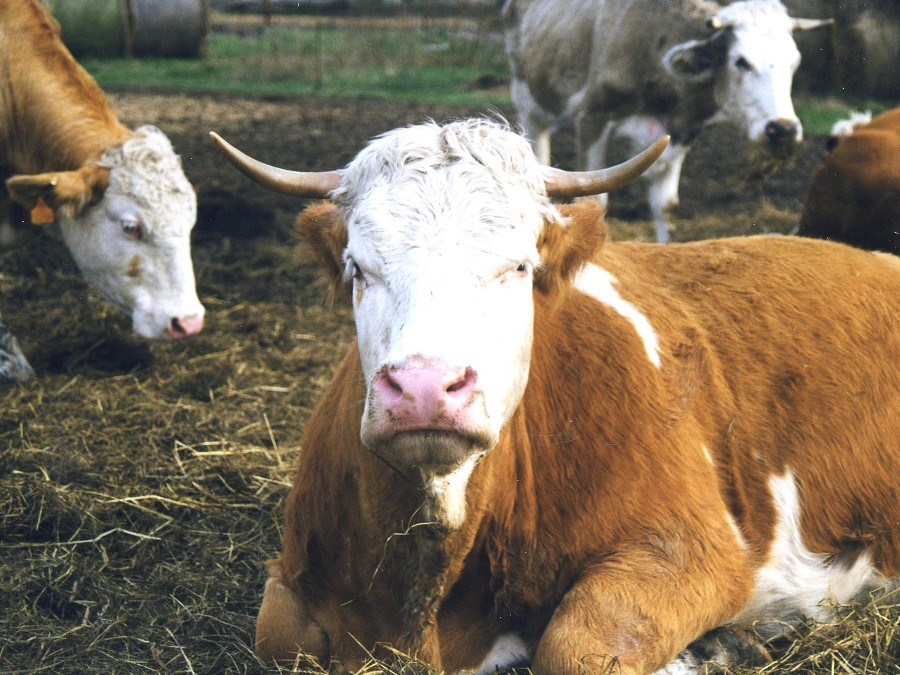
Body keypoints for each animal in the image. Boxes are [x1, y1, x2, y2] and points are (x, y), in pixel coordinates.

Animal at [500, 0, 828, 243]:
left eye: (794, 62)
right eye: (741, 61)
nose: (783, 128)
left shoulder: (680, 135)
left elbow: (666, 206)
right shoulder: (592, 117)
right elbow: (597, 201)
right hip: (528, 104)